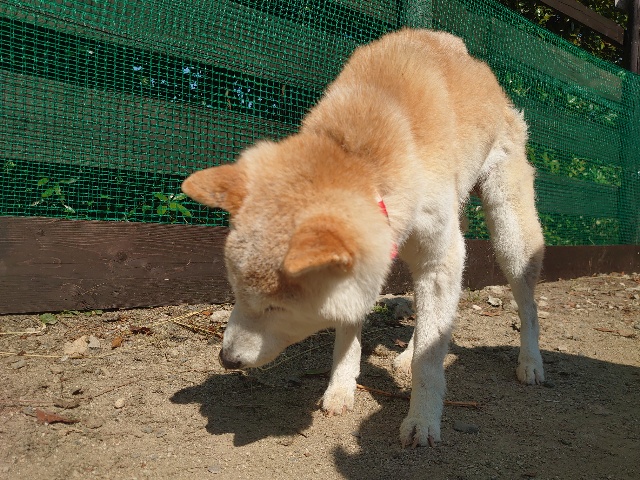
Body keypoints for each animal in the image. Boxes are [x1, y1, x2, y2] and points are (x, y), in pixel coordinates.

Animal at [182, 28, 545, 447]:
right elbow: (352, 326)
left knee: (526, 304)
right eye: (236, 294)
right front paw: (341, 386)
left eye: (276, 308)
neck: (362, 157)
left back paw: (530, 362)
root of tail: (482, 70)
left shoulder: (440, 257)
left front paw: (422, 419)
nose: (227, 359)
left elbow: (429, 365)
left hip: (508, 231)